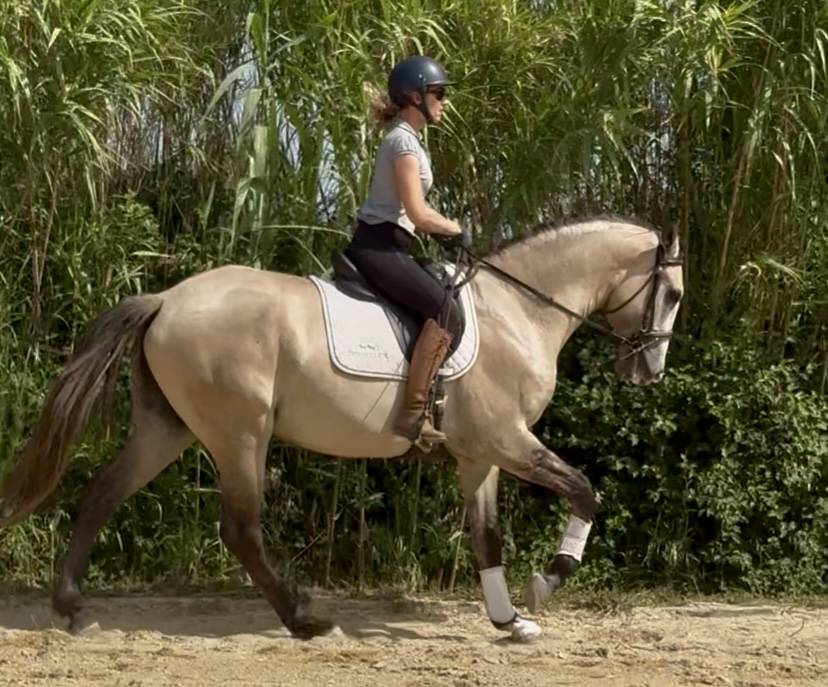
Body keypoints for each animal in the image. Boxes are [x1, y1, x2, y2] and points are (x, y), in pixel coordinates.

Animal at [0, 216, 684, 643]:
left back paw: (73, 609)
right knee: (239, 529)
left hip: (166, 429)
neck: (519, 312)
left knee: (102, 493)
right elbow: (584, 491)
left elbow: (486, 537)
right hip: (240, 434)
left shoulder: (479, 454)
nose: (648, 372)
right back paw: (305, 620)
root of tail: (167, 299)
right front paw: (546, 582)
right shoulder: (507, 440)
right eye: (673, 294)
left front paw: (509, 620)